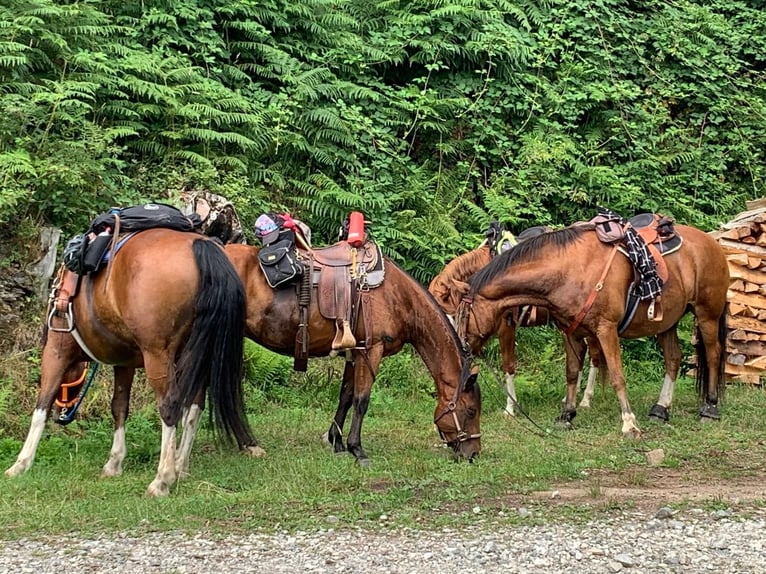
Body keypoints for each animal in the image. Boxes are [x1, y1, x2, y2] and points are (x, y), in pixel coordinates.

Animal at [5, 227, 258, 498]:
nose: (61, 414)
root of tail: (201, 245)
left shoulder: (56, 352)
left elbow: (41, 406)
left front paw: (20, 464)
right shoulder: (123, 363)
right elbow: (119, 407)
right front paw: (114, 462)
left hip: (158, 356)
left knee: (170, 406)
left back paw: (163, 478)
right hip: (198, 354)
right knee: (194, 406)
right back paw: (180, 465)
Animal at [225, 241, 484, 466]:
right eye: (471, 410)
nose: (473, 453)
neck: (398, 296)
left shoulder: (354, 351)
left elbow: (346, 396)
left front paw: (336, 441)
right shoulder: (371, 350)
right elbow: (361, 400)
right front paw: (357, 449)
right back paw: (249, 444)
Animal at [456, 223, 732, 438]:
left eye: (464, 315)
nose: (462, 349)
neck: (568, 270)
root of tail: (713, 243)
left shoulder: (606, 329)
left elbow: (617, 376)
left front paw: (629, 424)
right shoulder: (571, 332)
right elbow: (571, 373)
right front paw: (567, 414)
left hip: (707, 315)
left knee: (713, 354)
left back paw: (710, 408)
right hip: (666, 323)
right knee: (673, 359)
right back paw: (661, 409)